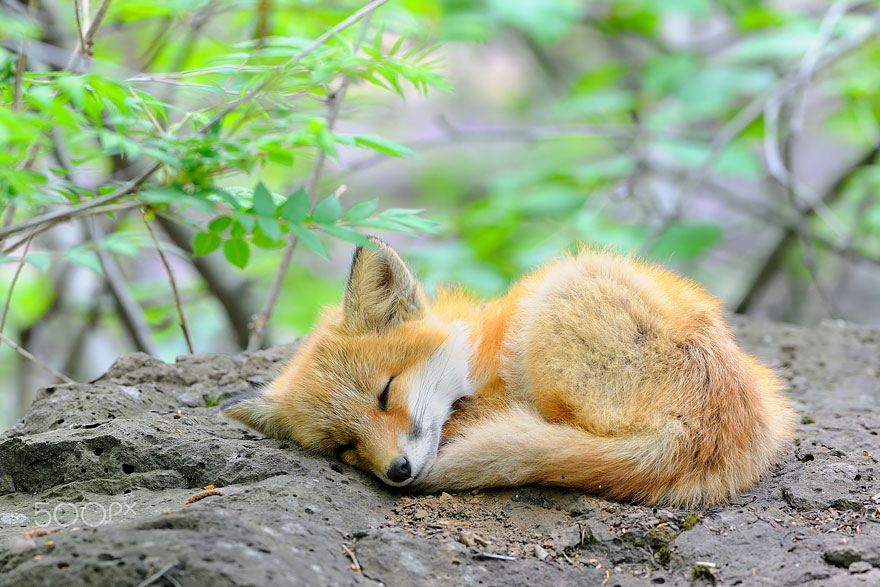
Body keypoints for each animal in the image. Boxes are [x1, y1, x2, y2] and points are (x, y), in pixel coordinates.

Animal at [222, 237, 796, 508]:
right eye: (344, 447)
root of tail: (705, 432)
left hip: (562, 289)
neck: (478, 350)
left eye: (385, 393)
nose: (397, 472)